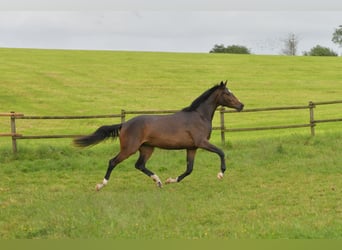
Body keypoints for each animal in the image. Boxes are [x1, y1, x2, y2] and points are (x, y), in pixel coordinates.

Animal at [73, 81, 243, 190]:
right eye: (227, 93)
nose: (241, 105)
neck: (199, 116)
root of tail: (124, 124)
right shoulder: (202, 142)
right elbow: (221, 152)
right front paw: (220, 174)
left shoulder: (192, 147)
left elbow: (189, 169)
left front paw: (170, 180)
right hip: (129, 149)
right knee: (113, 162)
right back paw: (100, 185)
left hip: (147, 148)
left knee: (139, 165)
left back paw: (159, 181)